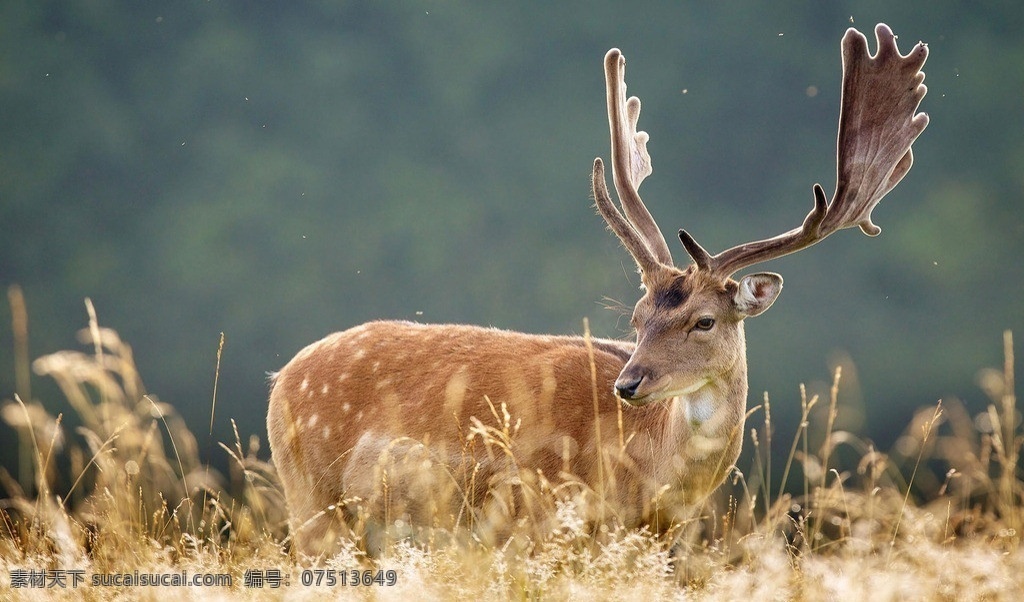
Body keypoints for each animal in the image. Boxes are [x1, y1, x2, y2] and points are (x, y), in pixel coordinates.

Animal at [266, 24, 929, 561]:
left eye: (704, 320)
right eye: (636, 318)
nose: (629, 383)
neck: (647, 478)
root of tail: (281, 379)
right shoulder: (540, 521)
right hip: (312, 504)